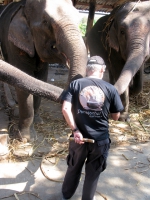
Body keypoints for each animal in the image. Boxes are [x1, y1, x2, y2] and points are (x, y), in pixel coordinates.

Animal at [0, 0, 87, 141]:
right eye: (46, 22)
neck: (24, 8)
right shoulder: (14, 43)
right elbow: (24, 81)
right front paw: (25, 138)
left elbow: (41, 77)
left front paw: (38, 121)